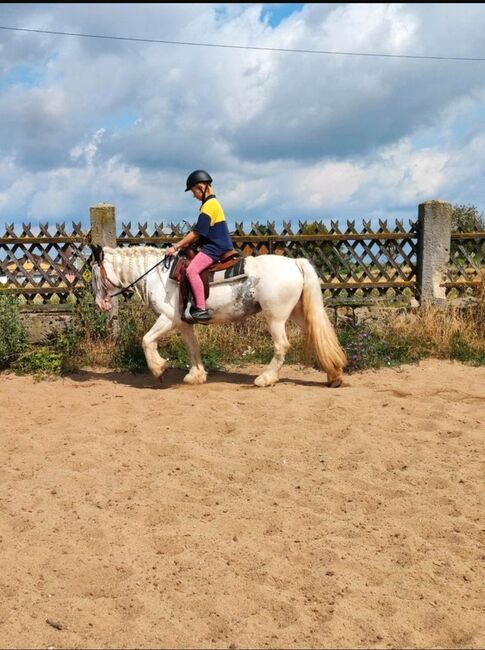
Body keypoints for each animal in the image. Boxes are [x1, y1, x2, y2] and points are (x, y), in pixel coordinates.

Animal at [91, 243, 346, 384]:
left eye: (94, 273)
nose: (101, 304)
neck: (158, 275)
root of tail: (294, 263)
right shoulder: (184, 323)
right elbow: (192, 347)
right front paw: (196, 375)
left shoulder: (168, 319)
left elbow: (146, 340)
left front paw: (159, 369)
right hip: (296, 314)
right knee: (317, 335)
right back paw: (334, 374)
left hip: (275, 317)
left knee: (282, 346)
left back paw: (265, 378)